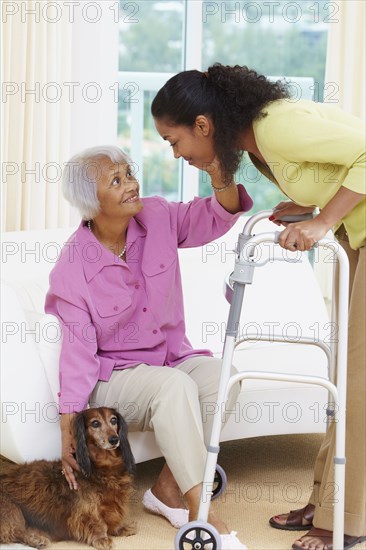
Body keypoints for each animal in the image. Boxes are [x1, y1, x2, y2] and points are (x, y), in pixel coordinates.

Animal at [0, 408, 136, 548]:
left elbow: (114, 517)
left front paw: (121, 528)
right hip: (11, 509)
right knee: (14, 532)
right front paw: (102, 539)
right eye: (95, 423)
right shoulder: (87, 507)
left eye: (113, 420)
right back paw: (36, 539)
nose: (114, 439)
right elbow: (97, 522)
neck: (104, 465)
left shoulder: (115, 502)